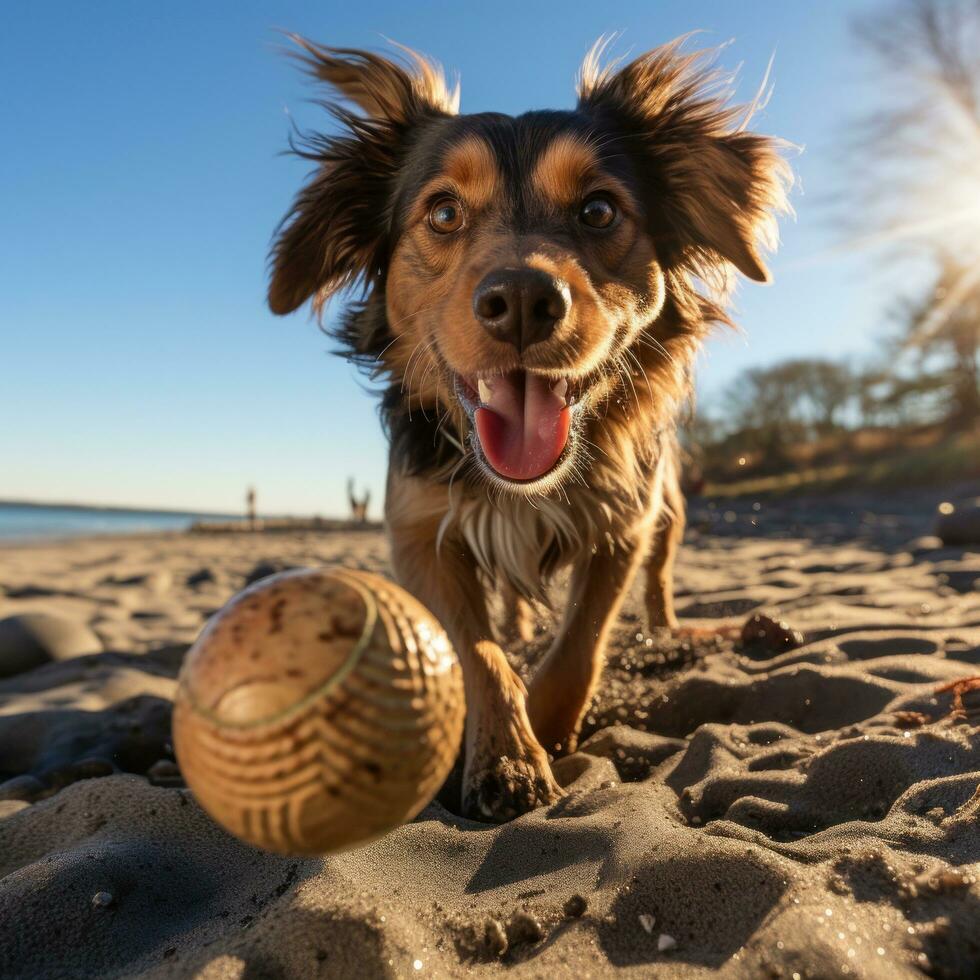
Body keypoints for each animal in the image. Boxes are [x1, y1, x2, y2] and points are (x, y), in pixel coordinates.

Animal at [268, 36, 788, 820]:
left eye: (599, 209)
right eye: (443, 213)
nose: (520, 299)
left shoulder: (624, 524)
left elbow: (582, 640)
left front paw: (546, 729)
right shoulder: (418, 531)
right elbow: (479, 652)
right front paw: (507, 756)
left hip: (671, 508)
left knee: (658, 581)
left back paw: (669, 632)